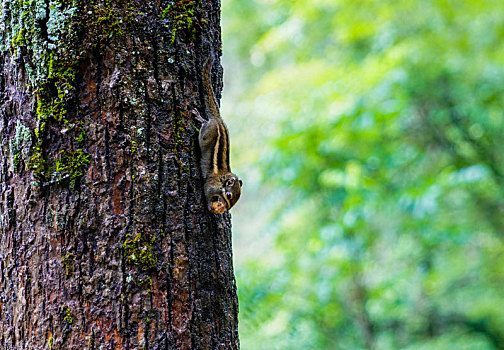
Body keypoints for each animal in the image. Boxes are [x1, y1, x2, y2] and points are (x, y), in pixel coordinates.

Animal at [191, 53, 242, 215]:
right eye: (229, 195)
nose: (226, 208)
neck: (222, 177)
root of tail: (218, 119)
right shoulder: (210, 184)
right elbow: (206, 192)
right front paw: (209, 205)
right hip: (206, 134)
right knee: (204, 127)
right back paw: (200, 118)